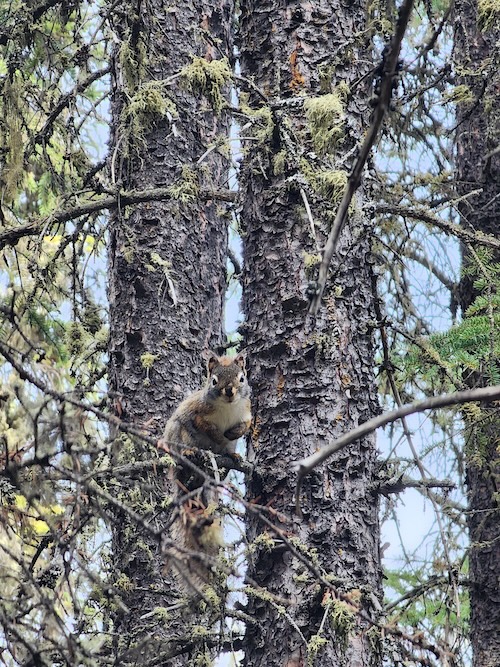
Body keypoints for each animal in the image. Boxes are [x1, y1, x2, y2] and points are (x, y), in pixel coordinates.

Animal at [160, 350, 251, 594]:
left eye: (242, 378)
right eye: (214, 380)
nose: (229, 392)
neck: (228, 407)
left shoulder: (246, 412)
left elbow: (245, 426)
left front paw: (232, 434)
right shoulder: (198, 413)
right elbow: (207, 427)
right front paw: (219, 436)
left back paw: (233, 457)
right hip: (178, 433)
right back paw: (190, 452)